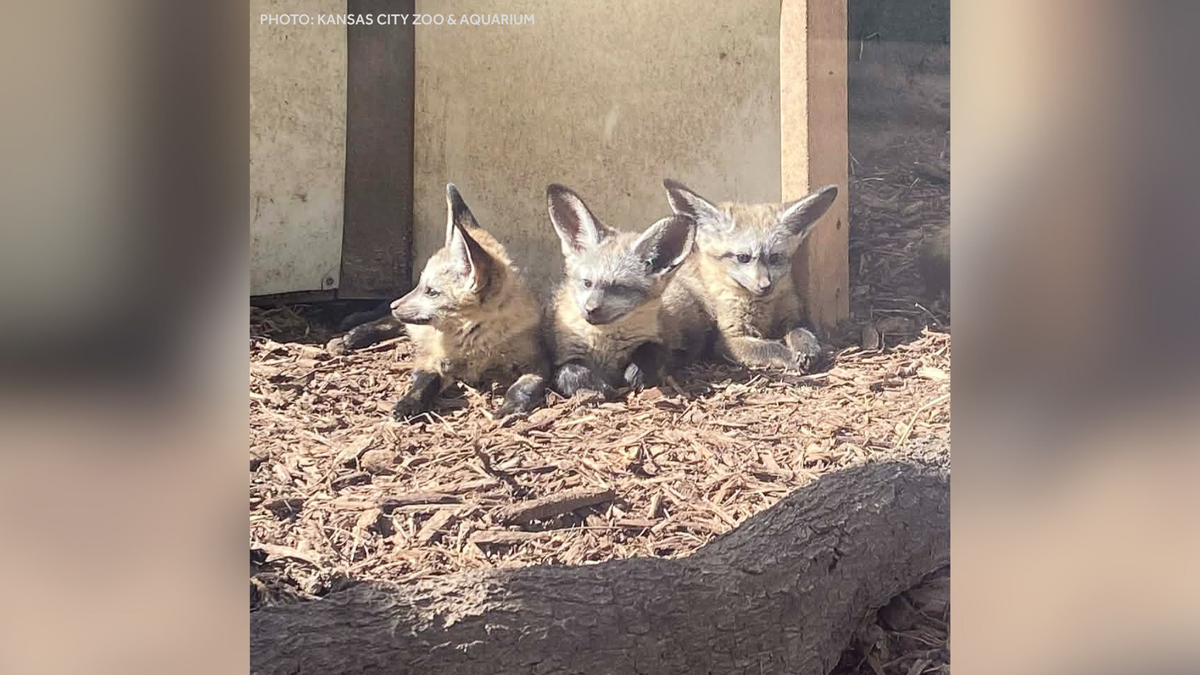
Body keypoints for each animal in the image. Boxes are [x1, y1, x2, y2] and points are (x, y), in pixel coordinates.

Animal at [369, 183, 549, 420]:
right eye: (422, 286)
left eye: (431, 292)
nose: (393, 305)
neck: (475, 344)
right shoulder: (432, 359)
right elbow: (422, 384)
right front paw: (407, 404)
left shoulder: (537, 363)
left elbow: (521, 389)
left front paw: (508, 409)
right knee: (389, 322)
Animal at [545, 183, 696, 398]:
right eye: (587, 283)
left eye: (620, 288)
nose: (590, 310)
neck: (606, 348)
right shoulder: (561, 355)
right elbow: (569, 371)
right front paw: (597, 388)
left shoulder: (662, 341)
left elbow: (653, 351)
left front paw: (636, 373)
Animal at [659, 179, 839, 372]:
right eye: (743, 257)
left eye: (774, 257)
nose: (765, 286)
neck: (762, 308)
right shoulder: (729, 338)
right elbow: (770, 347)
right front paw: (790, 357)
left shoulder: (792, 315)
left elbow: (801, 331)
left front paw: (807, 348)